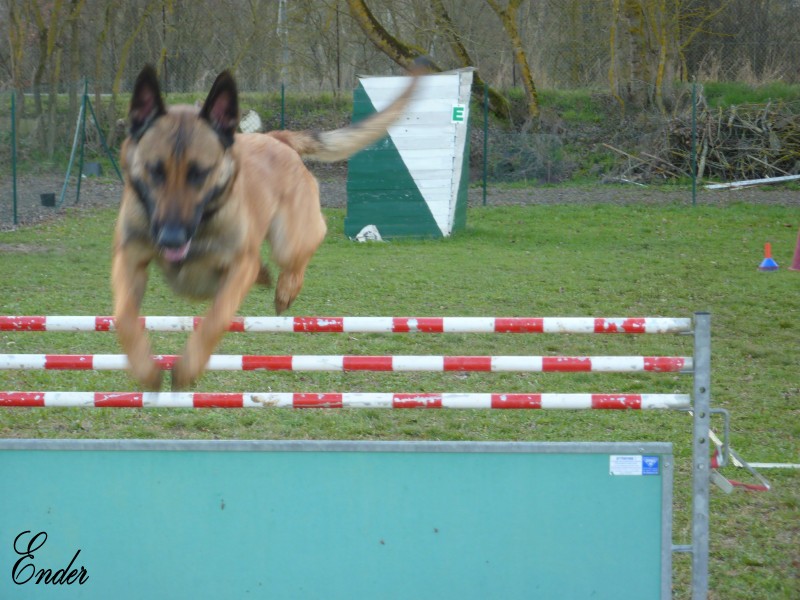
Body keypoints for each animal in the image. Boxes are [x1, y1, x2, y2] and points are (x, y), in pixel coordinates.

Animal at [113, 63, 422, 390]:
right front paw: (144, 367)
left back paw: (286, 289)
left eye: (200, 174)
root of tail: (276, 138)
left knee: (305, 249)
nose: (170, 238)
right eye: (155, 171)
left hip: (290, 241)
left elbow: (216, 318)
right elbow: (125, 317)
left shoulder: (238, 268)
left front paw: (189, 366)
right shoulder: (129, 259)